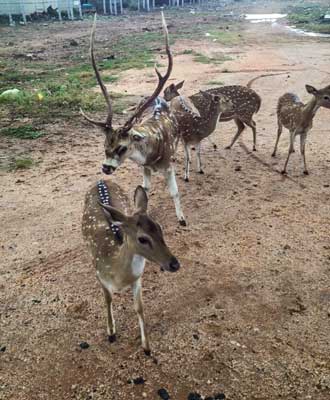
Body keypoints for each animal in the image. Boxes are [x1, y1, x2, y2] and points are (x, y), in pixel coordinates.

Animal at [80, 12, 187, 225]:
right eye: (104, 145)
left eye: (122, 147)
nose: (105, 167)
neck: (152, 154)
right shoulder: (144, 167)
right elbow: (145, 189)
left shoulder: (167, 164)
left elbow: (175, 192)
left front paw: (182, 218)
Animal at [82, 180, 180, 354]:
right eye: (142, 239)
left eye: (160, 227)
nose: (174, 264)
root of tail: (101, 180)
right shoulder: (99, 274)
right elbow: (108, 299)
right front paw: (111, 333)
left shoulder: (138, 278)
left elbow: (139, 307)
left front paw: (146, 347)